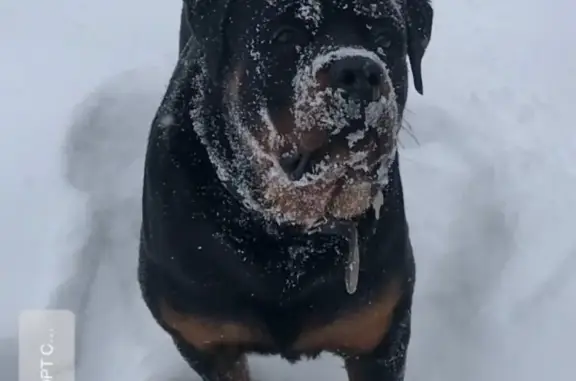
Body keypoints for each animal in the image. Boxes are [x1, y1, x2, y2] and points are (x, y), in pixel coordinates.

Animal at [140, 0, 432, 378]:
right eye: (285, 35)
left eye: (386, 38)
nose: (359, 69)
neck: (288, 232)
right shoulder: (204, 340)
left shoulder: (379, 336)